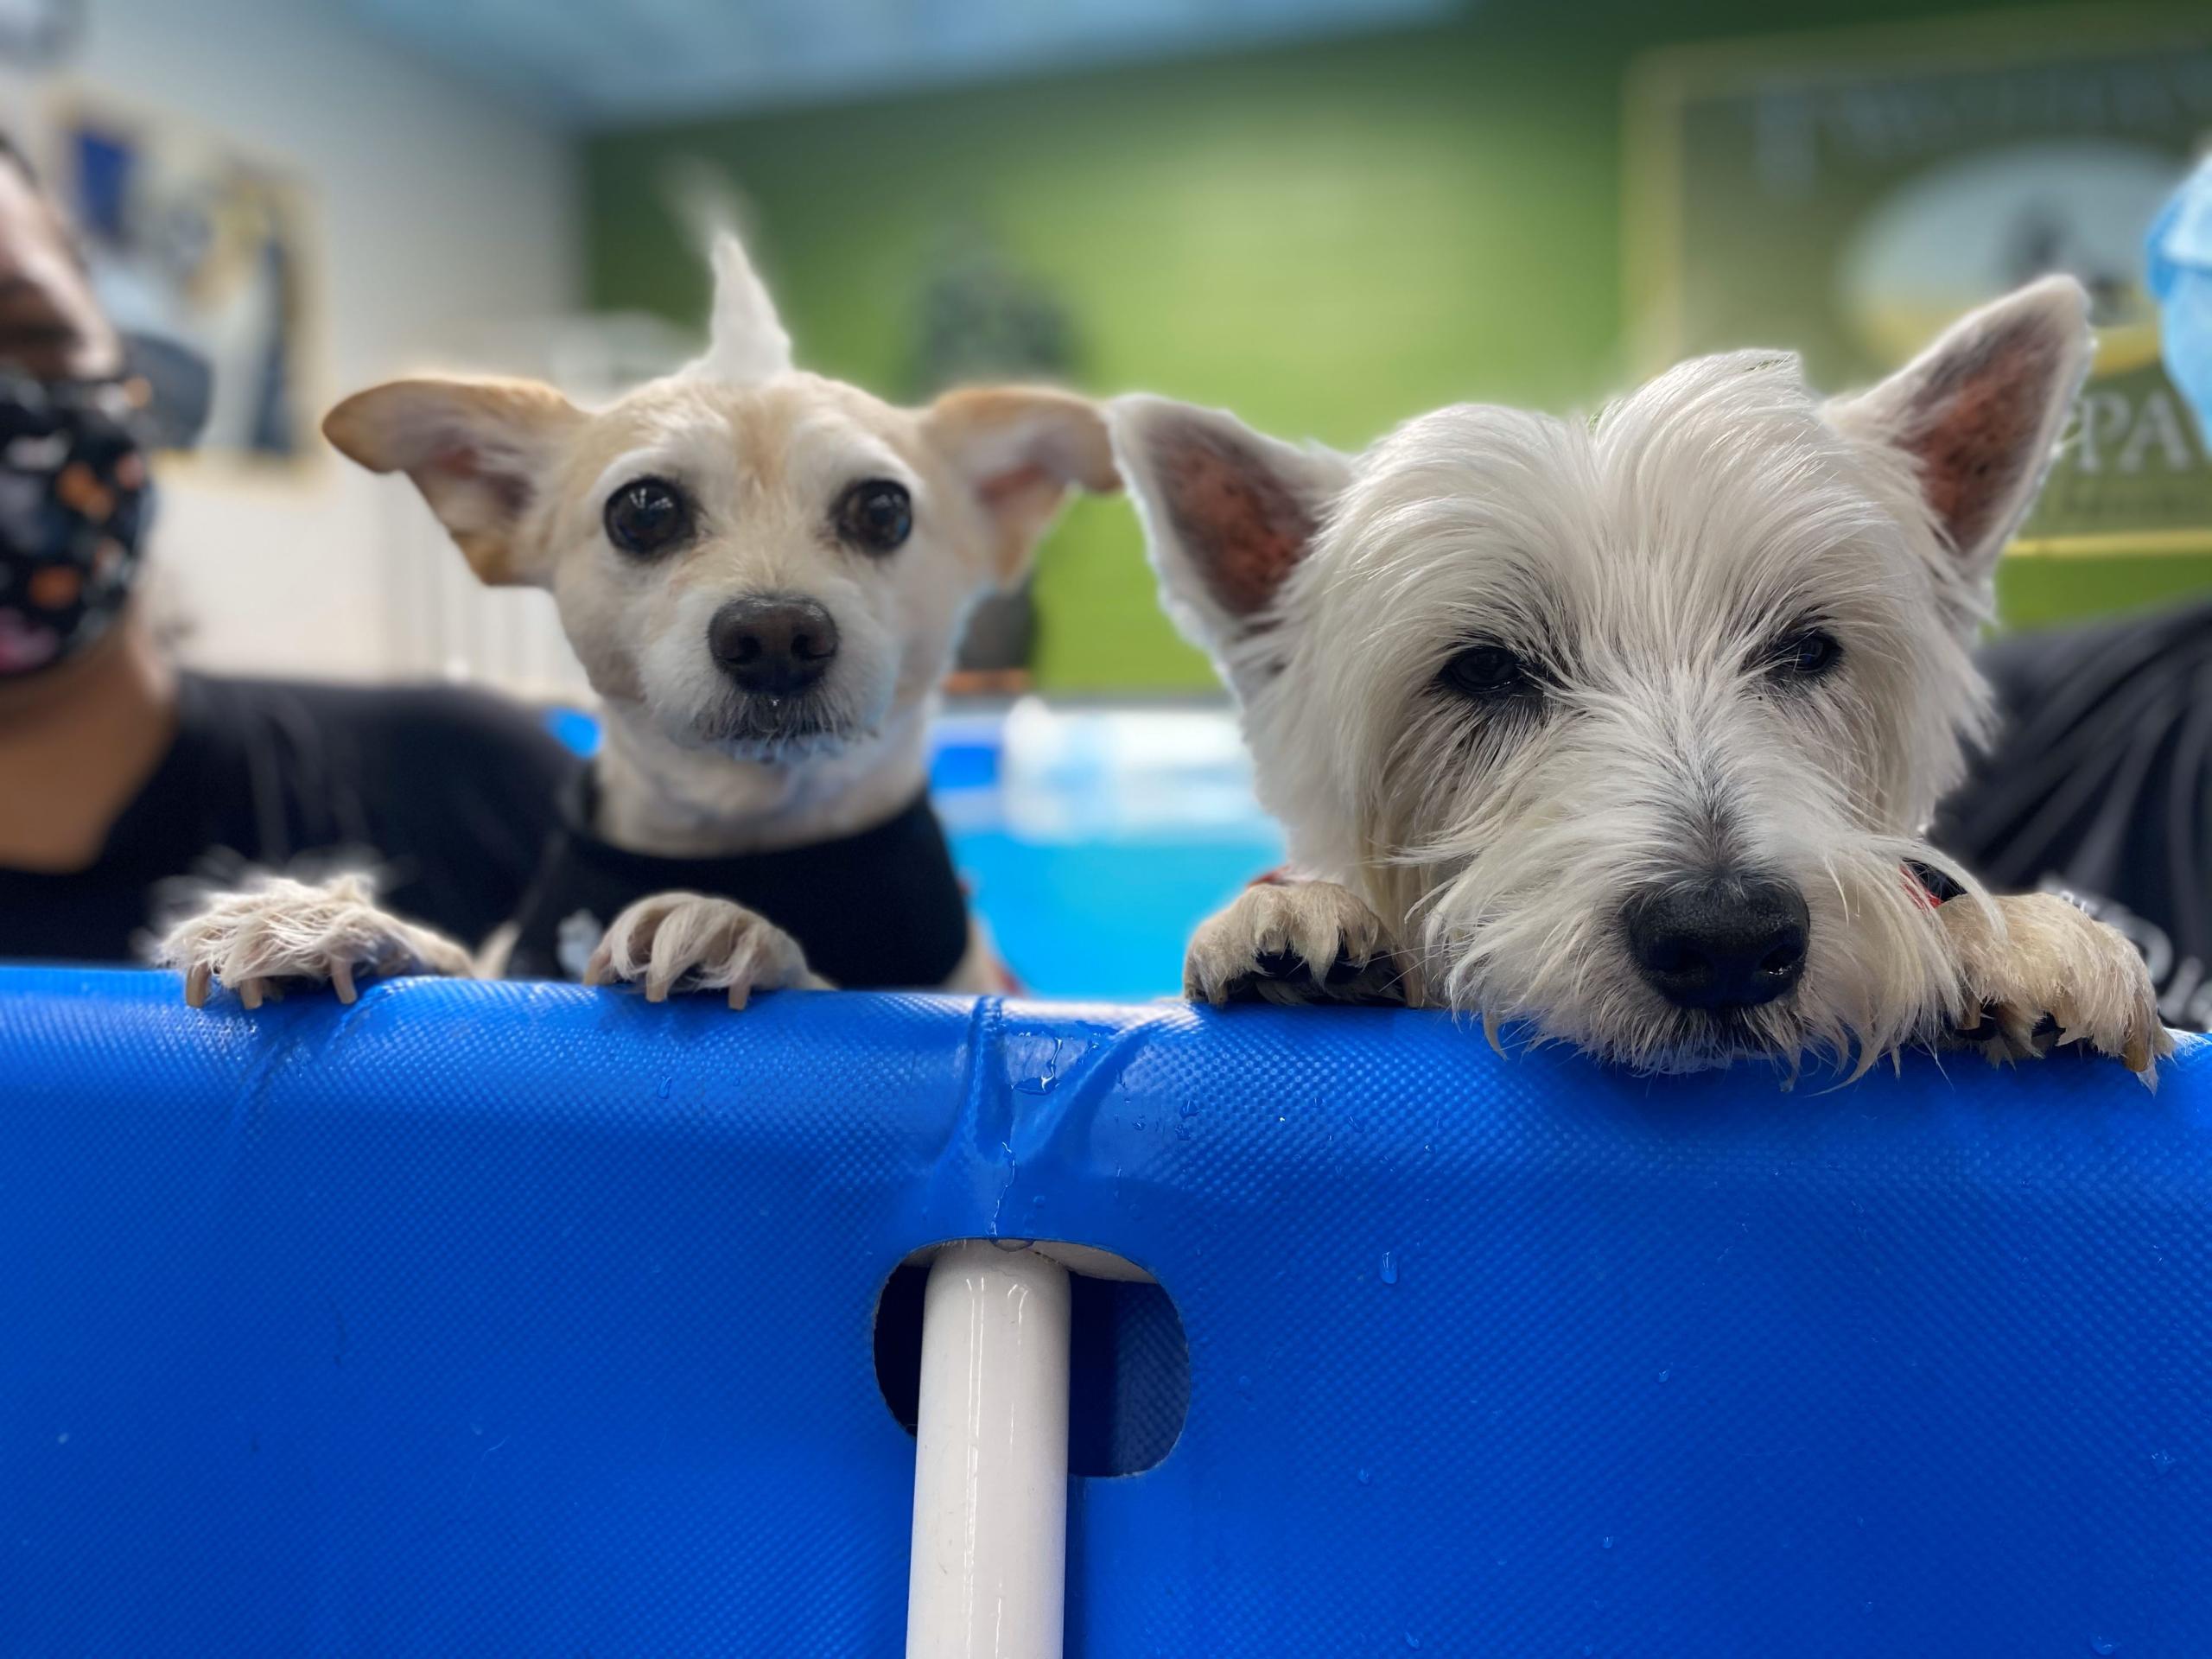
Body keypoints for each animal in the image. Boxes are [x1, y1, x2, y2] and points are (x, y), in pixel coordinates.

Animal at [161, 231, 1115, 1013]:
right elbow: (463, 961)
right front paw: (333, 924)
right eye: (644, 510)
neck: (744, 843)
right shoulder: (514, 960)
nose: (777, 636)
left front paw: (735, 929)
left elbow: (832, 982)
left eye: (883, 510)